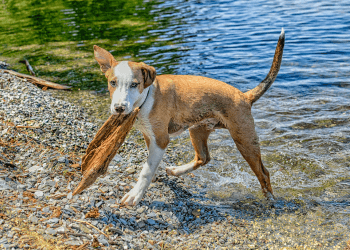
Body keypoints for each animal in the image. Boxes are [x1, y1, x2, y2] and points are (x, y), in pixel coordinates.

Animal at [94, 28, 286, 205]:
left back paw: (270, 200)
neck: (145, 99)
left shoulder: (160, 139)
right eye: (112, 82)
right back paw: (176, 171)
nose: (119, 108)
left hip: (244, 140)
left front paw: (135, 194)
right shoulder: (149, 136)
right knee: (203, 157)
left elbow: (146, 171)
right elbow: (150, 163)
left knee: (263, 173)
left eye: (134, 84)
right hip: (198, 130)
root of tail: (245, 96)